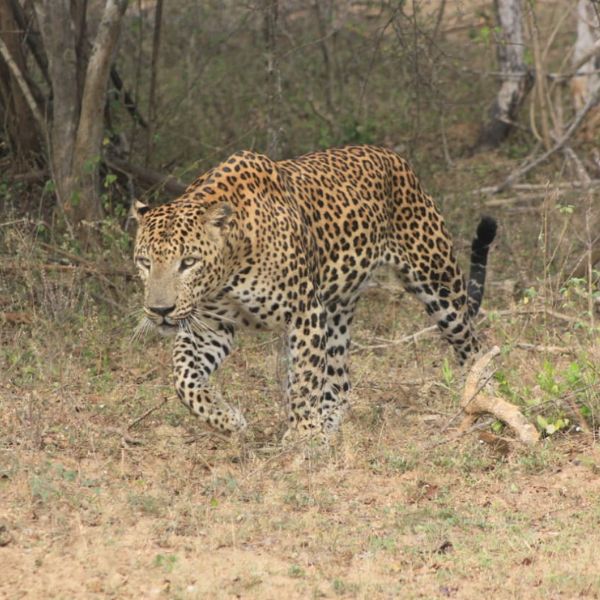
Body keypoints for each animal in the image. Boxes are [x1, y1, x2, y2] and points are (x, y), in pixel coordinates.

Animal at [132, 143, 496, 438]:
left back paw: (479, 397)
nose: (160, 311)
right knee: (340, 380)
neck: (229, 270)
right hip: (336, 309)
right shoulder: (210, 326)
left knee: (473, 345)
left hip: (438, 282)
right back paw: (329, 424)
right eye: (145, 262)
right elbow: (183, 379)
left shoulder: (304, 312)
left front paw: (304, 438)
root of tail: (394, 157)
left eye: (188, 262)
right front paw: (227, 419)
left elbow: (306, 381)